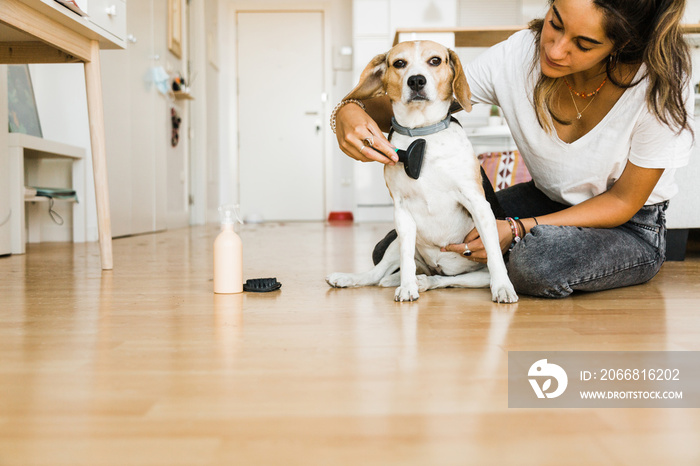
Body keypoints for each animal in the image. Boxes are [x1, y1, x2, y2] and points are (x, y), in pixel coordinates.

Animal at [326, 41, 516, 304]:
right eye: (399, 63)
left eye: (435, 61)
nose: (416, 80)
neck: (422, 134)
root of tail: (435, 266)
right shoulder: (402, 212)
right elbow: (406, 261)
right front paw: (407, 287)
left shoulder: (478, 204)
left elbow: (494, 256)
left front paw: (503, 288)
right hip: (396, 241)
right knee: (378, 274)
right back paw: (355, 278)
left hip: (475, 276)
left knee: (445, 280)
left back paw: (425, 281)